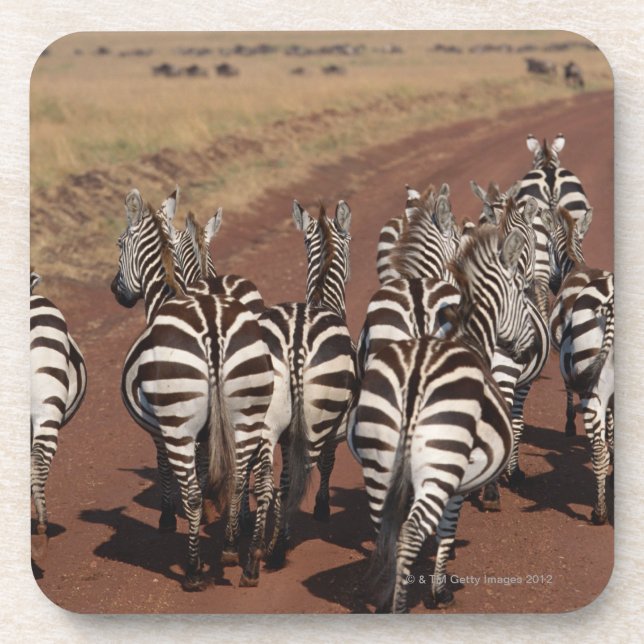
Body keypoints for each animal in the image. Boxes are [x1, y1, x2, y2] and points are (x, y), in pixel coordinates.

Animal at [111, 188, 275, 589]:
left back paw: (194, 570)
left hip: (179, 423)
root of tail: (213, 328)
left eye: (120, 243)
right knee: (246, 476)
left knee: (194, 490)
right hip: (250, 410)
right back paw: (241, 552)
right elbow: (215, 467)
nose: (115, 291)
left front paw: (168, 518)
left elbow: (166, 468)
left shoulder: (159, 429)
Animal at [259, 200, 357, 567]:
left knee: (266, 482)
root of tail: (298, 341)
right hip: (317, 422)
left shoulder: (289, 434)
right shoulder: (334, 429)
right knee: (293, 482)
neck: (321, 299)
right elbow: (329, 463)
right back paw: (277, 549)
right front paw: (322, 508)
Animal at [349, 226, 536, 612]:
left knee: (384, 528)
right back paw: (400, 604)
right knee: (408, 531)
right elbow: (448, 529)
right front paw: (440, 589)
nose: (525, 352)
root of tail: (416, 377)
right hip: (440, 464)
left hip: (379, 459)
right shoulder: (459, 481)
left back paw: (384, 591)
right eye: (524, 292)